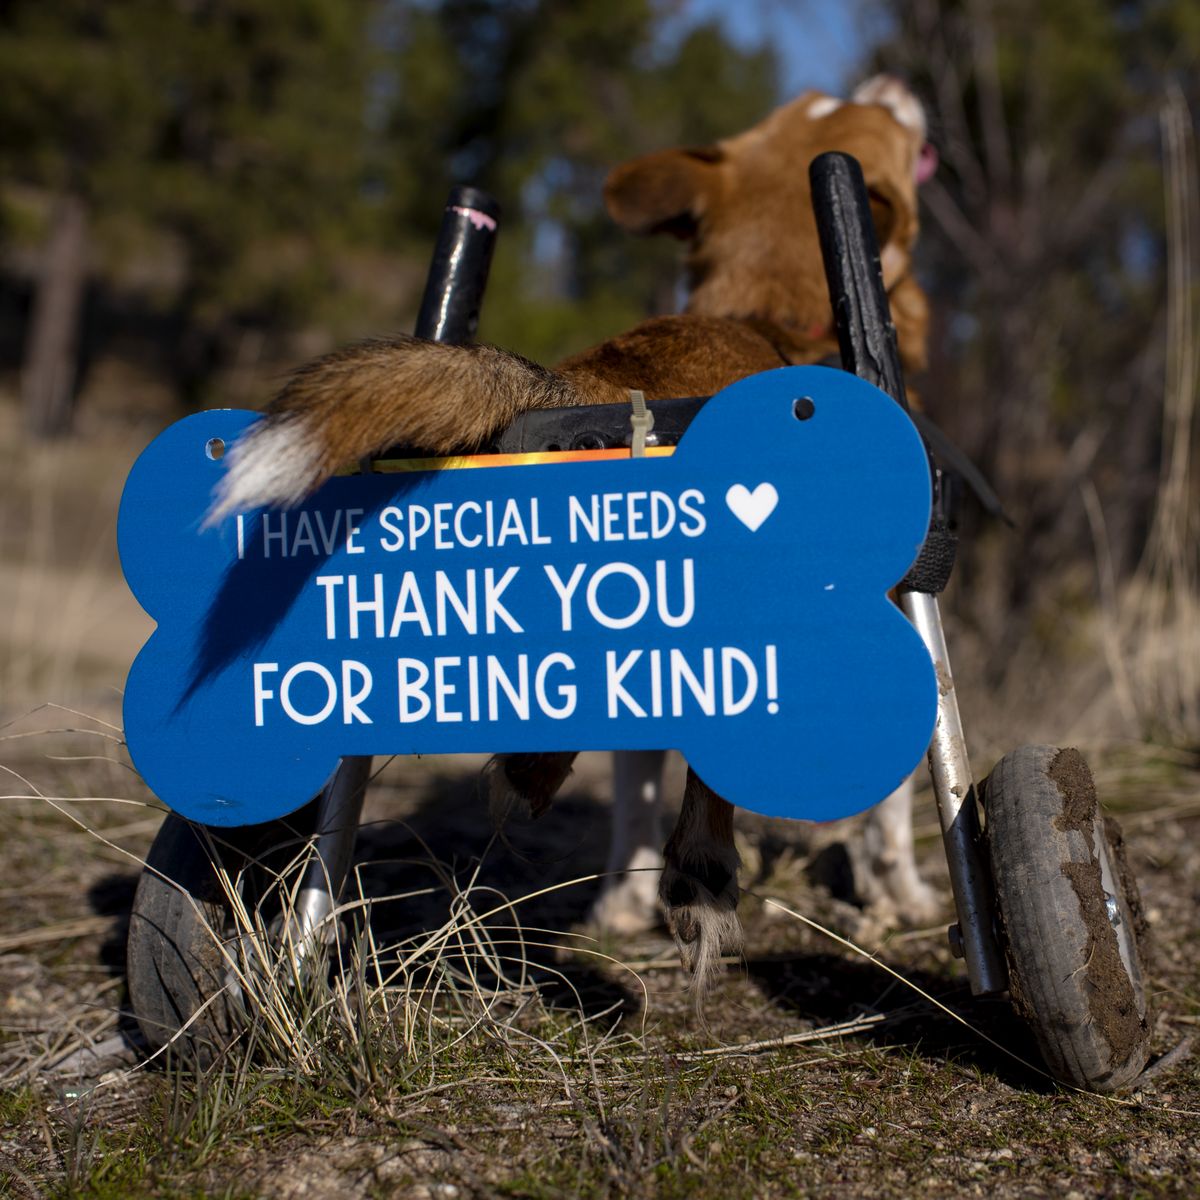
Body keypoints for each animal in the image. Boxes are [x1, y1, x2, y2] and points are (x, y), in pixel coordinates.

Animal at [218, 72, 945, 984]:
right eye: (879, 119)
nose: (889, 81)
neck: (768, 308)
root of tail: (575, 391)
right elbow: (895, 800)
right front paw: (905, 893)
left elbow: (635, 791)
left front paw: (619, 902)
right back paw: (698, 877)